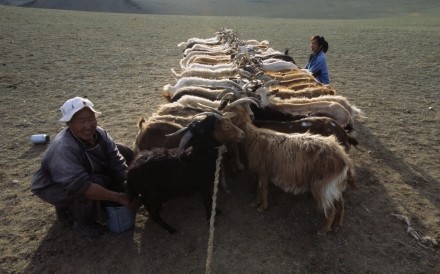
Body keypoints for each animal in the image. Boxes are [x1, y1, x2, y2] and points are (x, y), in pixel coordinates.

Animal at [222, 99, 356, 235]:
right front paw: (256, 203)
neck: (254, 138)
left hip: (323, 186)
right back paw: (337, 225)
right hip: (334, 185)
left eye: (227, 112)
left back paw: (323, 230)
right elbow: (260, 188)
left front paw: (261, 206)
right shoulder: (262, 172)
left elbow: (262, 189)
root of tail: (345, 159)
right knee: (340, 204)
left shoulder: (263, 171)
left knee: (331, 209)